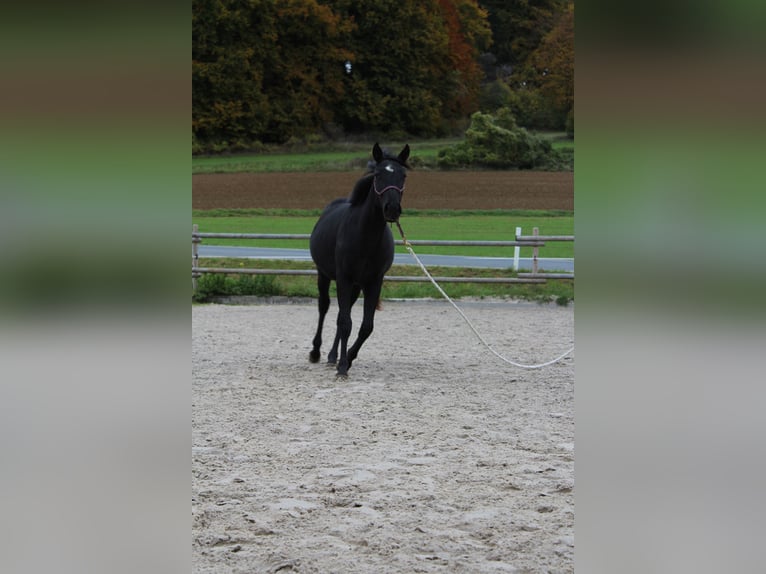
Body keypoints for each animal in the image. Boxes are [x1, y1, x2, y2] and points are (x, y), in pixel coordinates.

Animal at [309, 142, 410, 377]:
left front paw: (348, 359)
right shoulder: (343, 278)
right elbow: (345, 322)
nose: (392, 209)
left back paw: (333, 356)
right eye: (378, 174)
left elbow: (365, 326)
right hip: (324, 275)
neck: (365, 237)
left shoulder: (373, 282)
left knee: (340, 313)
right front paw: (343, 367)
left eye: (403, 175)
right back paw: (316, 352)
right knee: (324, 308)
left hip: (355, 286)